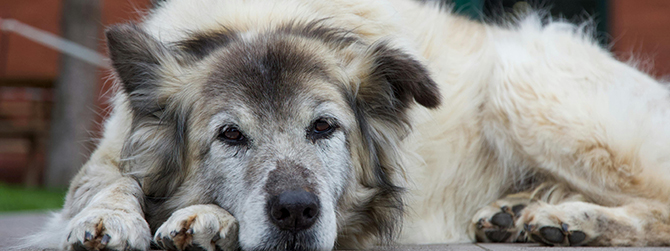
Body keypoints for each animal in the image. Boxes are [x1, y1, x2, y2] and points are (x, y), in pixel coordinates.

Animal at [25, 0, 670, 250]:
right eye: (230, 135)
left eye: (324, 128)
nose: (295, 211)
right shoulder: (111, 154)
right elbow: (111, 183)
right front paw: (109, 221)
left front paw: (203, 218)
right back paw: (518, 213)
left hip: (521, 84)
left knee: (659, 205)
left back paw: (569, 220)